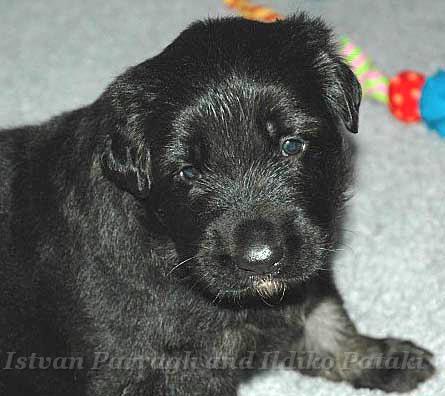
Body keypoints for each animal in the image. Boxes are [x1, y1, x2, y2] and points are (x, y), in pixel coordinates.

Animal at [0, 13, 436, 394]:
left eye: (291, 145)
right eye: (188, 172)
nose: (260, 260)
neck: (164, 242)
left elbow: (329, 323)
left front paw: (385, 357)